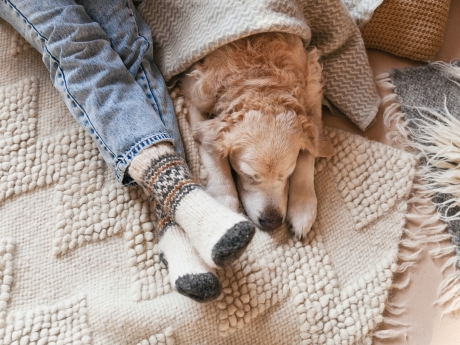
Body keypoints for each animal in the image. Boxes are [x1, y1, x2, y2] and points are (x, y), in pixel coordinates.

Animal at [180, 33, 334, 239]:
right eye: (248, 175)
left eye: (286, 173)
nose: (272, 222)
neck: (260, 80)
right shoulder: (193, 91)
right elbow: (213, 154)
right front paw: (224, 201)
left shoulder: (312, 86)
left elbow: (309, 152)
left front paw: (302, 208)